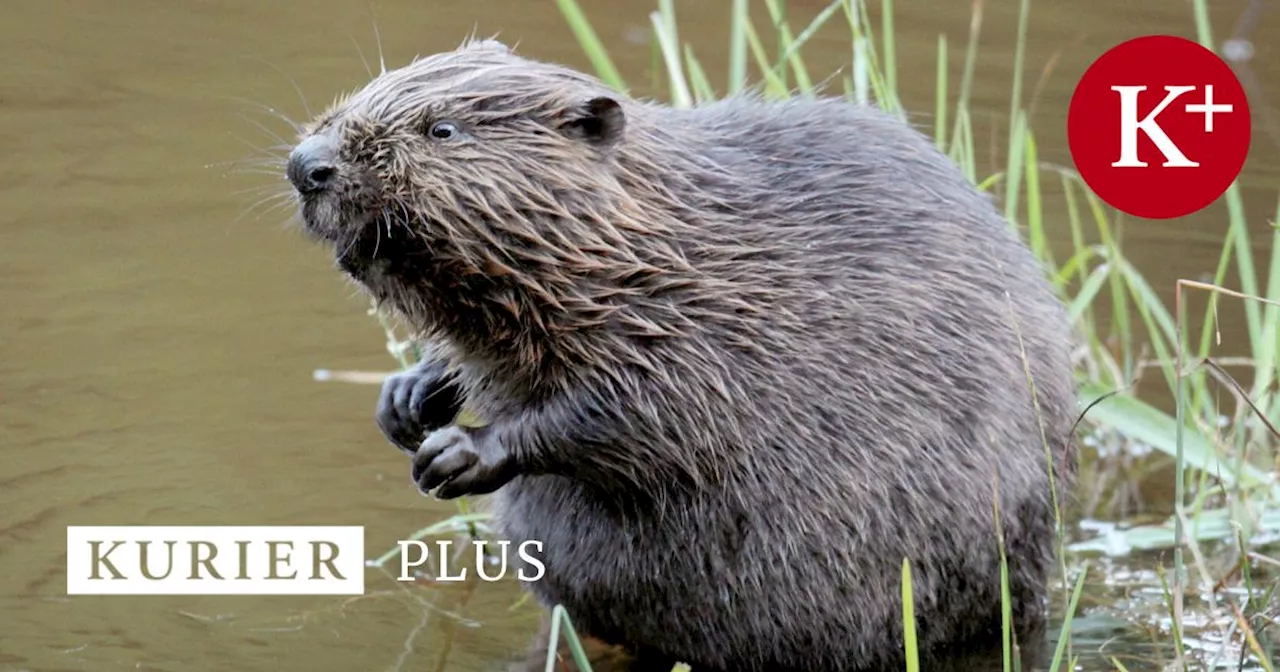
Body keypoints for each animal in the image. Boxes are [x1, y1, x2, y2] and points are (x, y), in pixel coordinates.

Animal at [282, 37, 1080, 670]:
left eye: (443, 129)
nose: (306, 165)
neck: (652, 239)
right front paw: (406, 398)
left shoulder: (704, 328)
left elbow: (644, 415)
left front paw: (457, 453)